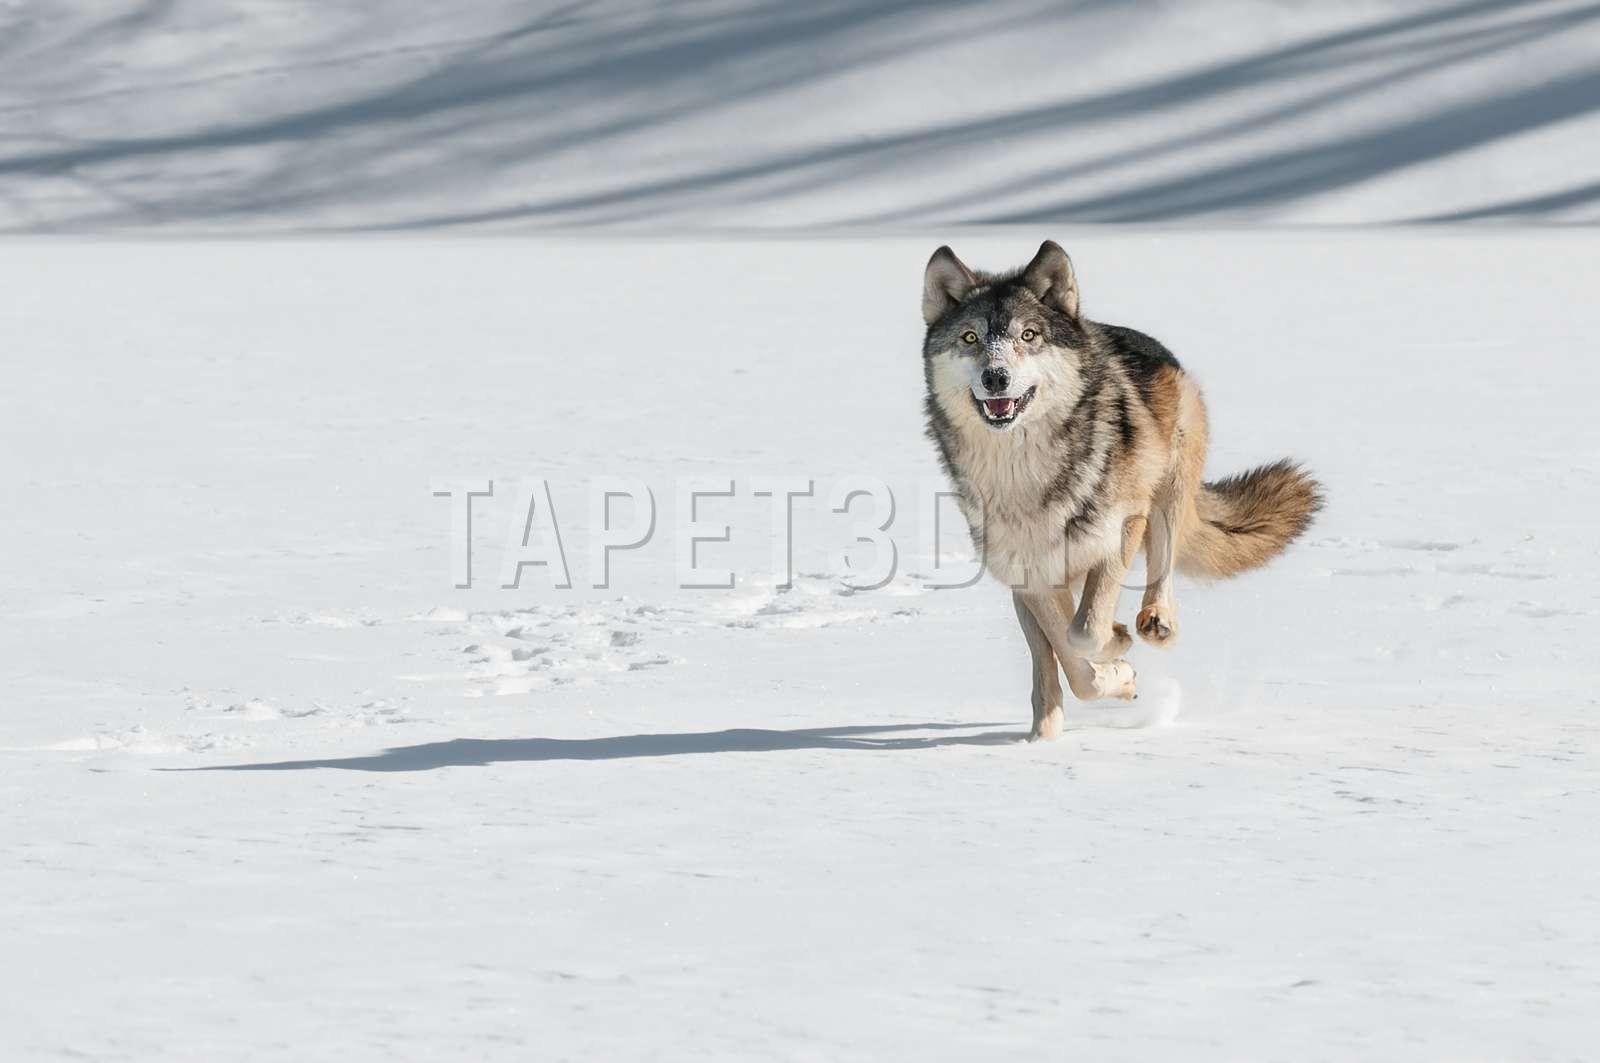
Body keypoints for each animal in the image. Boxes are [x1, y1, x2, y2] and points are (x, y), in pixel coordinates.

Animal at [921, 240, 1323, 740]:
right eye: (971, 338)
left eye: (1029, 335)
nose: (996, 376)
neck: (1026, 475)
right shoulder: (1028, 572)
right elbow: (1068, 652)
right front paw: (1117, 671)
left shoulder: (1118, 533)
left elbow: (1083, 632)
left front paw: (1117, 645)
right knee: (1045, 665)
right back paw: (1041, 734)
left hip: (1167, 492)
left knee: (1162, 565)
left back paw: (1155, 623)